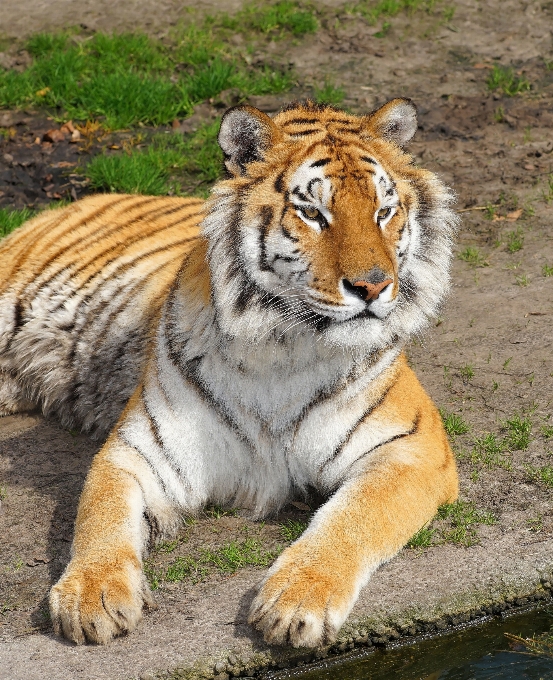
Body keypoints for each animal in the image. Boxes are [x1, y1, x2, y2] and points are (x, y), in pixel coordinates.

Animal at [0, 97, 458, 648]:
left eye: (384, 212)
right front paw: (91, 596)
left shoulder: (412, 449)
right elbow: (101, 521)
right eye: (313, 213)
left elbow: (353, 518)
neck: (283, 348)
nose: (373, 286)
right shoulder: (139, 452)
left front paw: (297, 598)